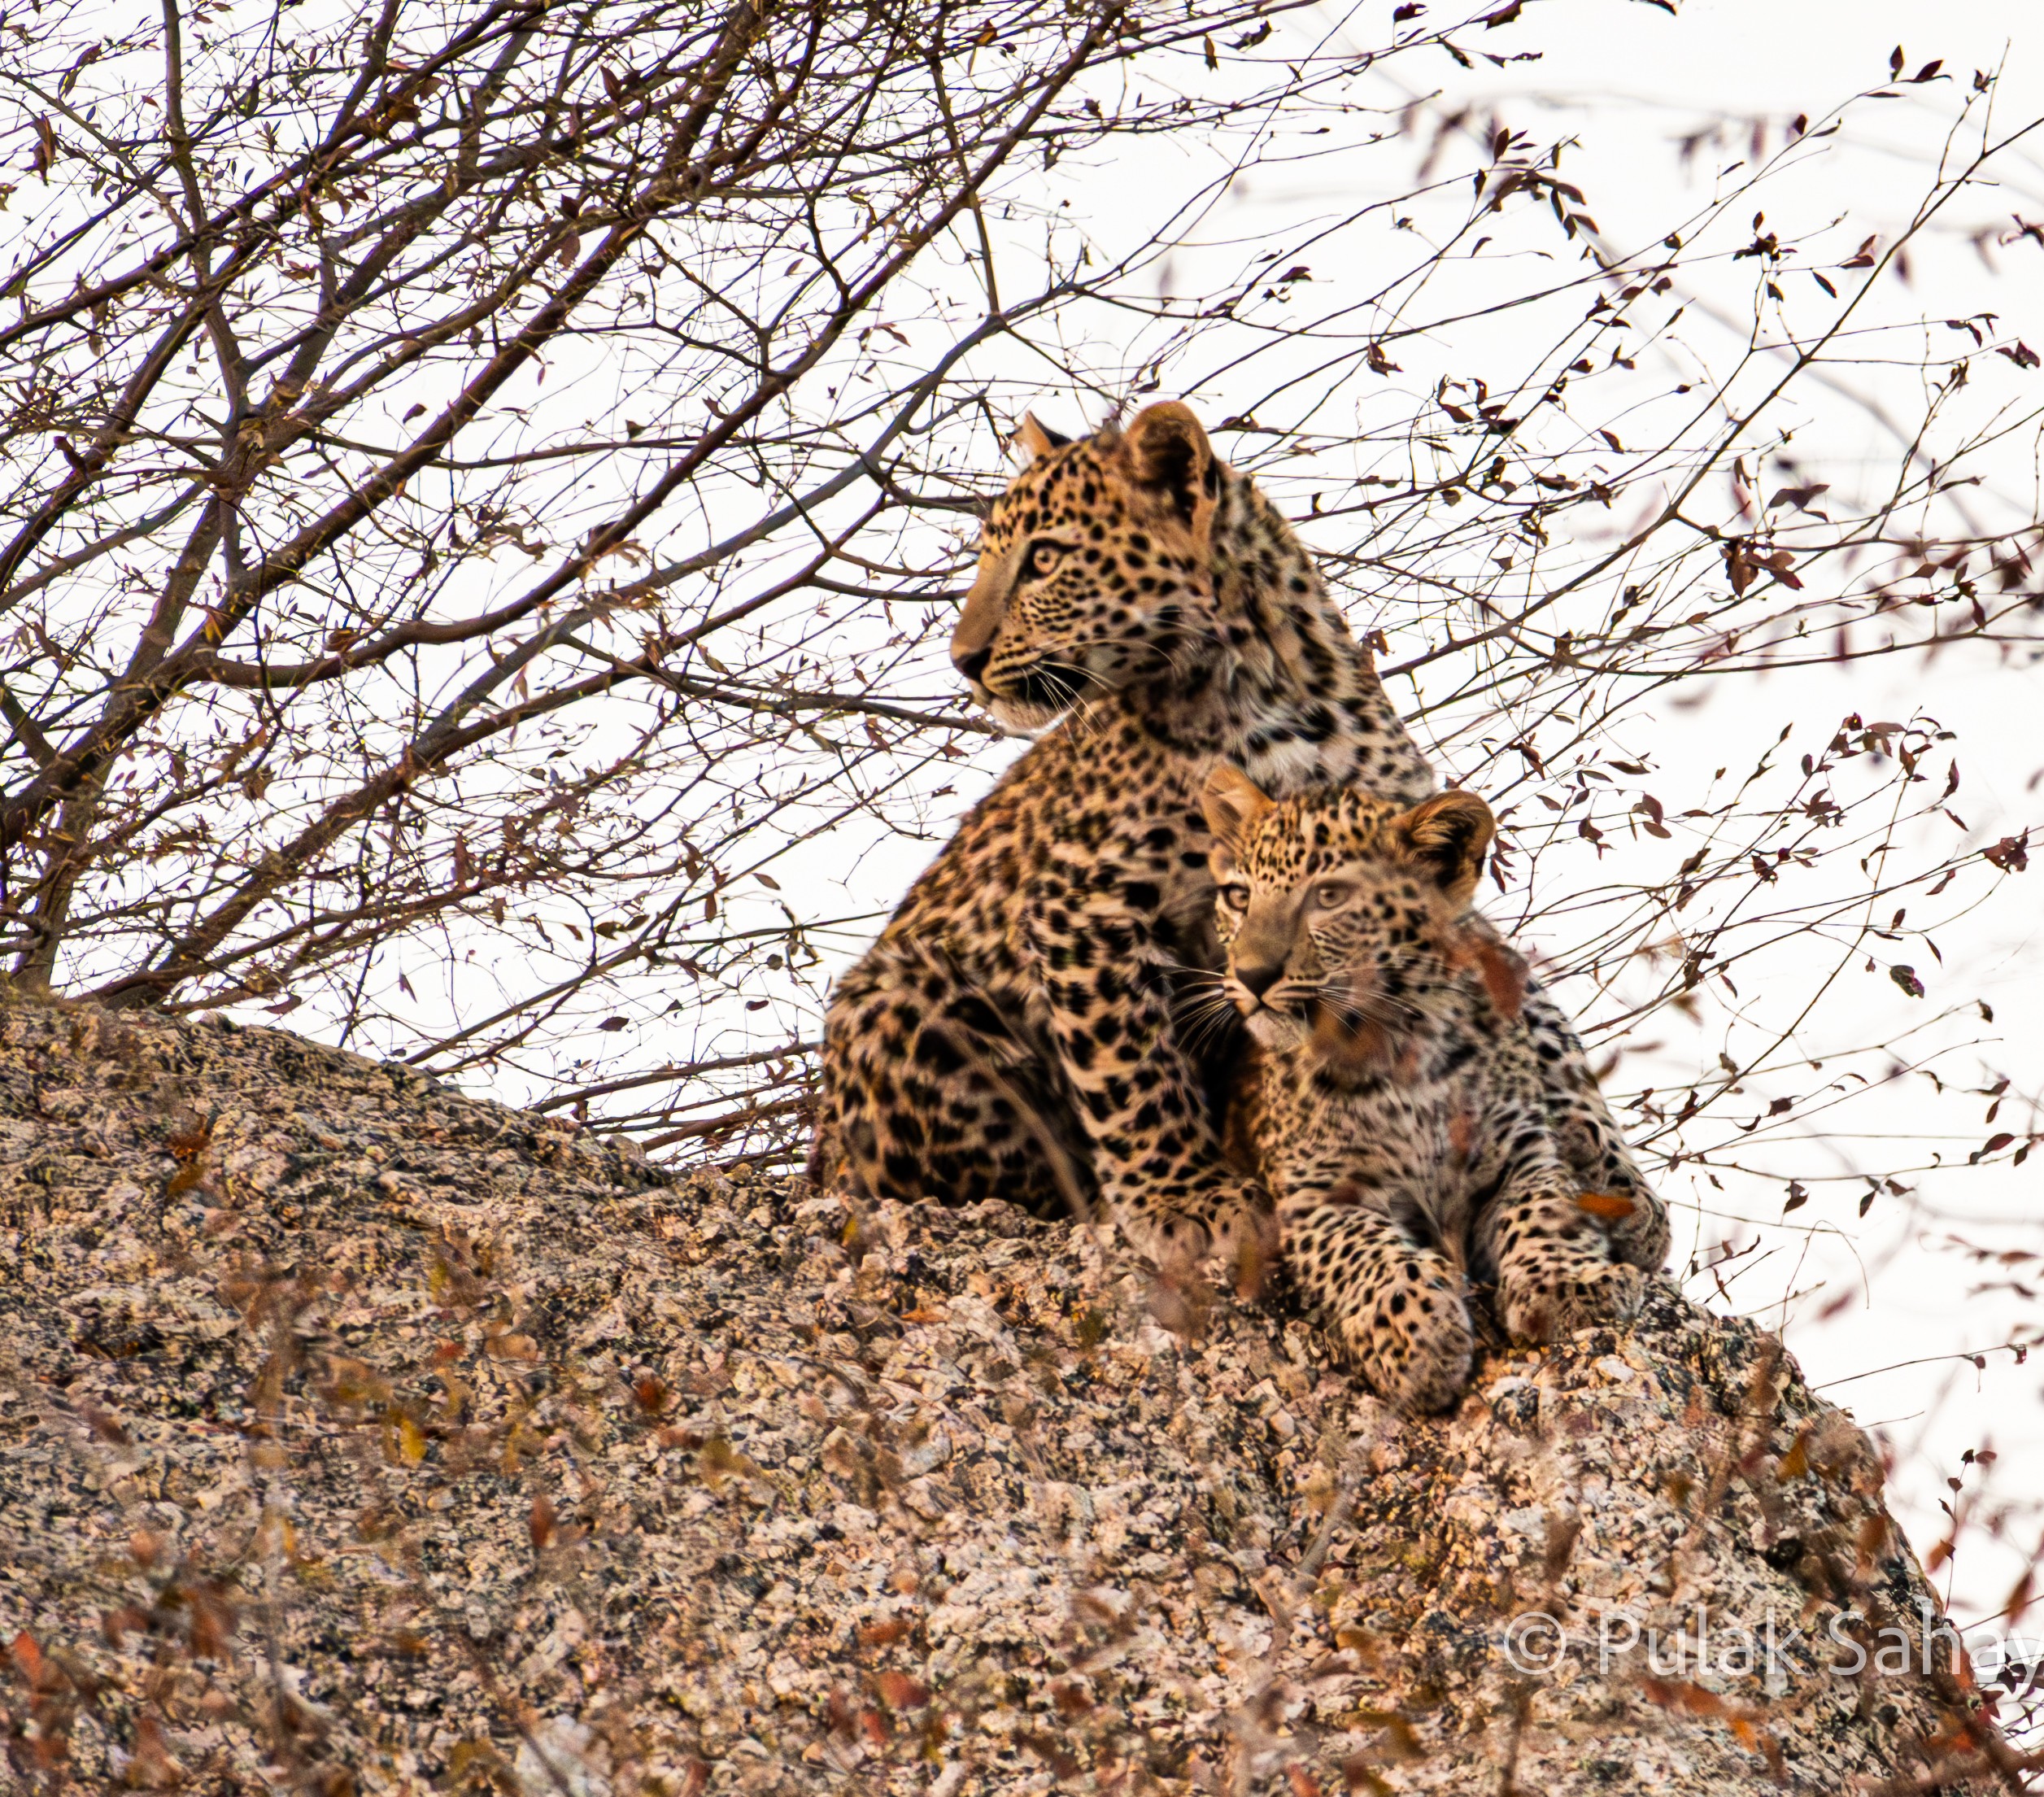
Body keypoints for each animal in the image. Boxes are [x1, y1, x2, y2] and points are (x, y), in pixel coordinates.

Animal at [1201, 763, 1670, 1412]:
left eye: (1329, 896)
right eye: (1238, 897)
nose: (1249, 975)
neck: (1396, 1052)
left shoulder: (1519, 1156)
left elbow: (1543, 1209)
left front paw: (1571, 1281)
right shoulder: (1313, 1196)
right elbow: (1364, 1249)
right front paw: (1415, 1334)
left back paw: (1622, 1196)